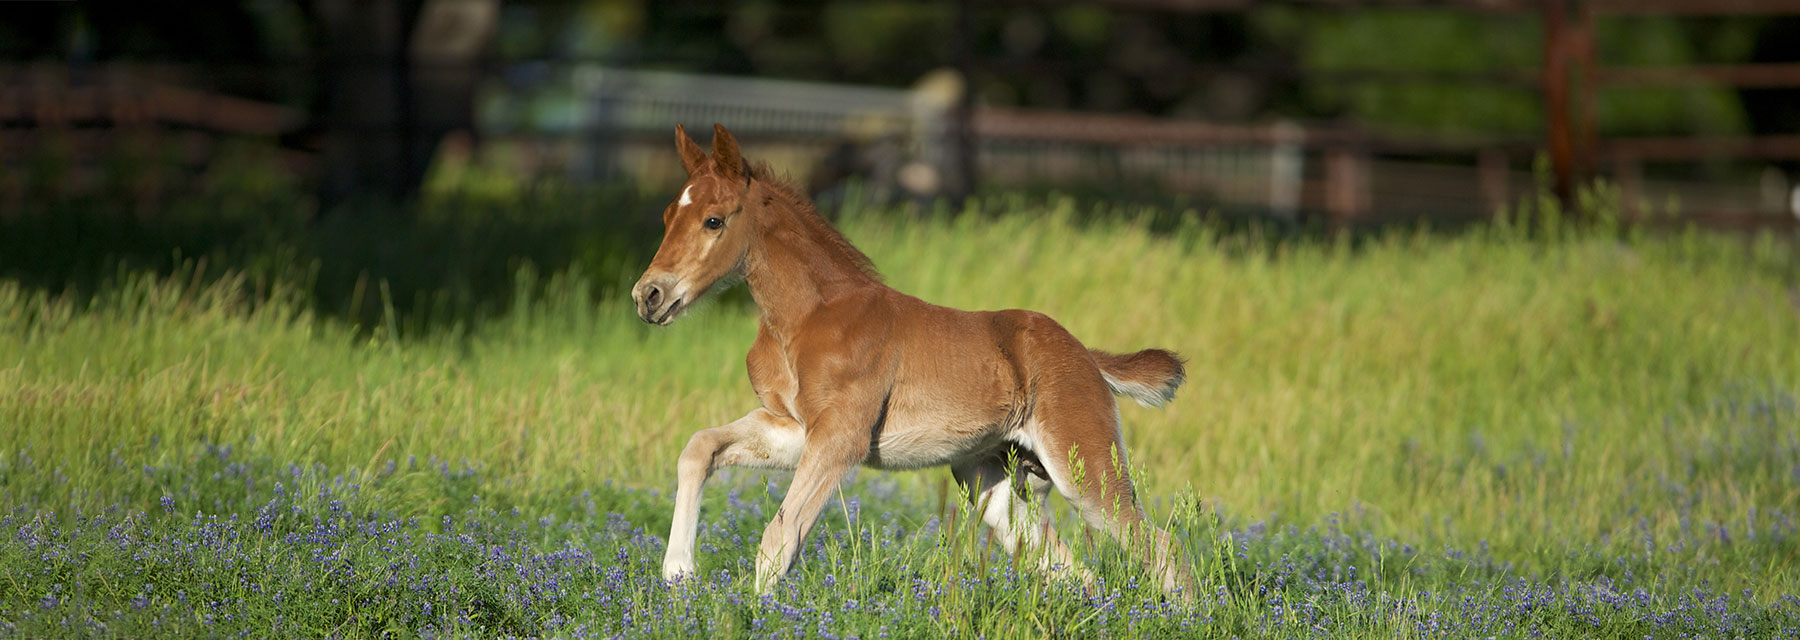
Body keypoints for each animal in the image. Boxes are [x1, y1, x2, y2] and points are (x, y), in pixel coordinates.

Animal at [633, 125, 1195, 600]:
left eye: (713, 220)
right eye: (665, 217)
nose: (648, 296)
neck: (808, 316)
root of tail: (1085, 354)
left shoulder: (842, 436)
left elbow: (780, 535)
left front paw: (756, 614)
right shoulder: (794, 427)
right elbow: (699, 448)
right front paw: (679, 574)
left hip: (1083, 463)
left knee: (1160, 547)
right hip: (987, 479)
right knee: (1067, 567)